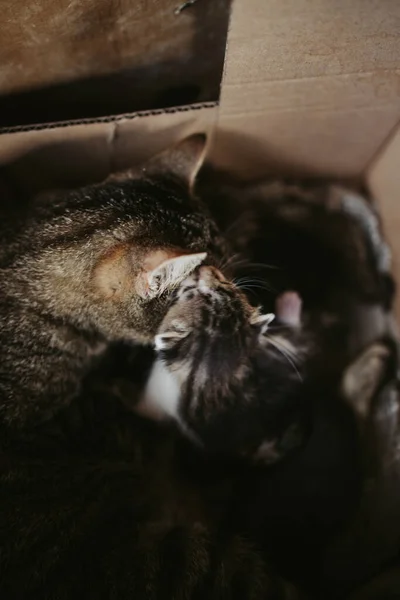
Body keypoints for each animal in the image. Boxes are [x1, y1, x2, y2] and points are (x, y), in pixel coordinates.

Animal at [134, 262, 310, 464]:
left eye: (189, 290)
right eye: (229, 286)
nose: (206, 267)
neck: (213, 370)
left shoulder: (159, 389)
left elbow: (145, 407)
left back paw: (289, 303)